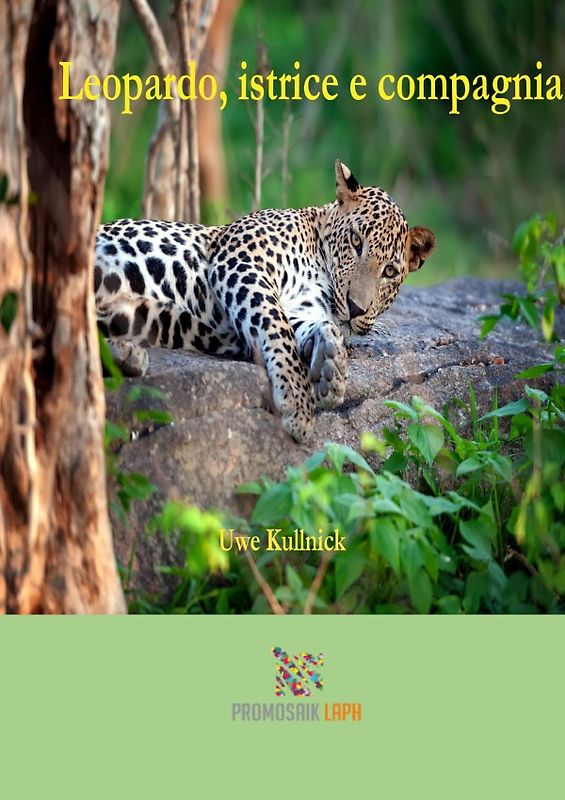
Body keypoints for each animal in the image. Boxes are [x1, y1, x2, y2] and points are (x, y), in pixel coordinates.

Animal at [94, 160, 435, 442]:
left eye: (390, 271)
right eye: (355, 241)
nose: (355, 308)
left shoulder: (299, 307)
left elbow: (306, 327)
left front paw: (330, 360)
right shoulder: (242, 263)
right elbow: (277, 327)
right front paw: (298, 402)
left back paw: (125, 356)